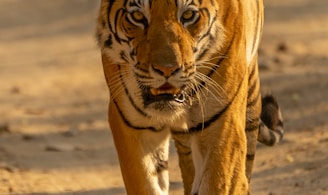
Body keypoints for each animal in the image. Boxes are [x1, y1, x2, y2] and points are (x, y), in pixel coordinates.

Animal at [95, 0, 284, 193]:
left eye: (188, 15)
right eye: (137, 16)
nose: (167, 70)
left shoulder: (222, 126)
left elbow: (218, 181)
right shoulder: (135, 128)